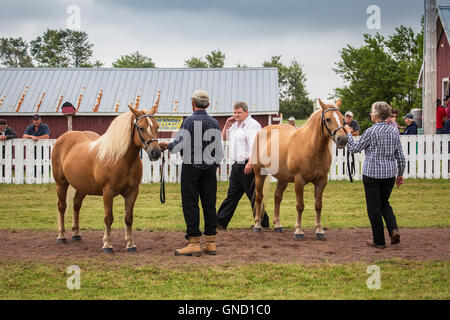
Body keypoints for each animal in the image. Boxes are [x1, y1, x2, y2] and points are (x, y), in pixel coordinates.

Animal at [51, 104, 161, 251]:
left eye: (157, 127)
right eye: (142, 127)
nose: (156, 152)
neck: (120, 159)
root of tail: (63, 137)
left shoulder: (132, 191)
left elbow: (128, 218)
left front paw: (130, 244)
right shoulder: (108, 192)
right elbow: (109, 218)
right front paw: (107, 244)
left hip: (82, 187)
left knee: (76, 205)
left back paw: (76, 233)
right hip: (61, 184)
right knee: (62, 207)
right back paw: (61, 236)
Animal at [251, 99, 346, 240]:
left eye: (343, 119)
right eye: (328, 119)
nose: (342, 139)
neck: (311, 147)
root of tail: (263, 130)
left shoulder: (321, 181)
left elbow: (318, 206)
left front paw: (319, 231)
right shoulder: (299, 181)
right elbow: (300, 206)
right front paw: (299, 231)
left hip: (283, 179)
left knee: (277, 197)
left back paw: (277, 224)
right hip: (259, 174)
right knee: (259, 197)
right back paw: (257, 225)